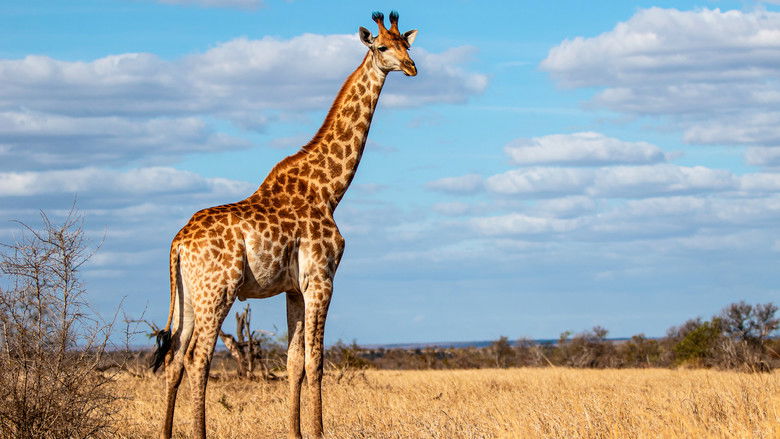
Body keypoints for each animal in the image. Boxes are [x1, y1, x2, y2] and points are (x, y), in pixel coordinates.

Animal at [150, 11, 418, 439]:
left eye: (406, 45)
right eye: (381, 47)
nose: (411, 67)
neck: (328, 190)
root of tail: (177, 242)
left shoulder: (294, 287)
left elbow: (294, 363)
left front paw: (296, 432)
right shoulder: (322, 278)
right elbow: (316, 362)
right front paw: (319, 431)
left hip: (189, 295)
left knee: (174, 356)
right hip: (218, 291)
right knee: (197, 358)